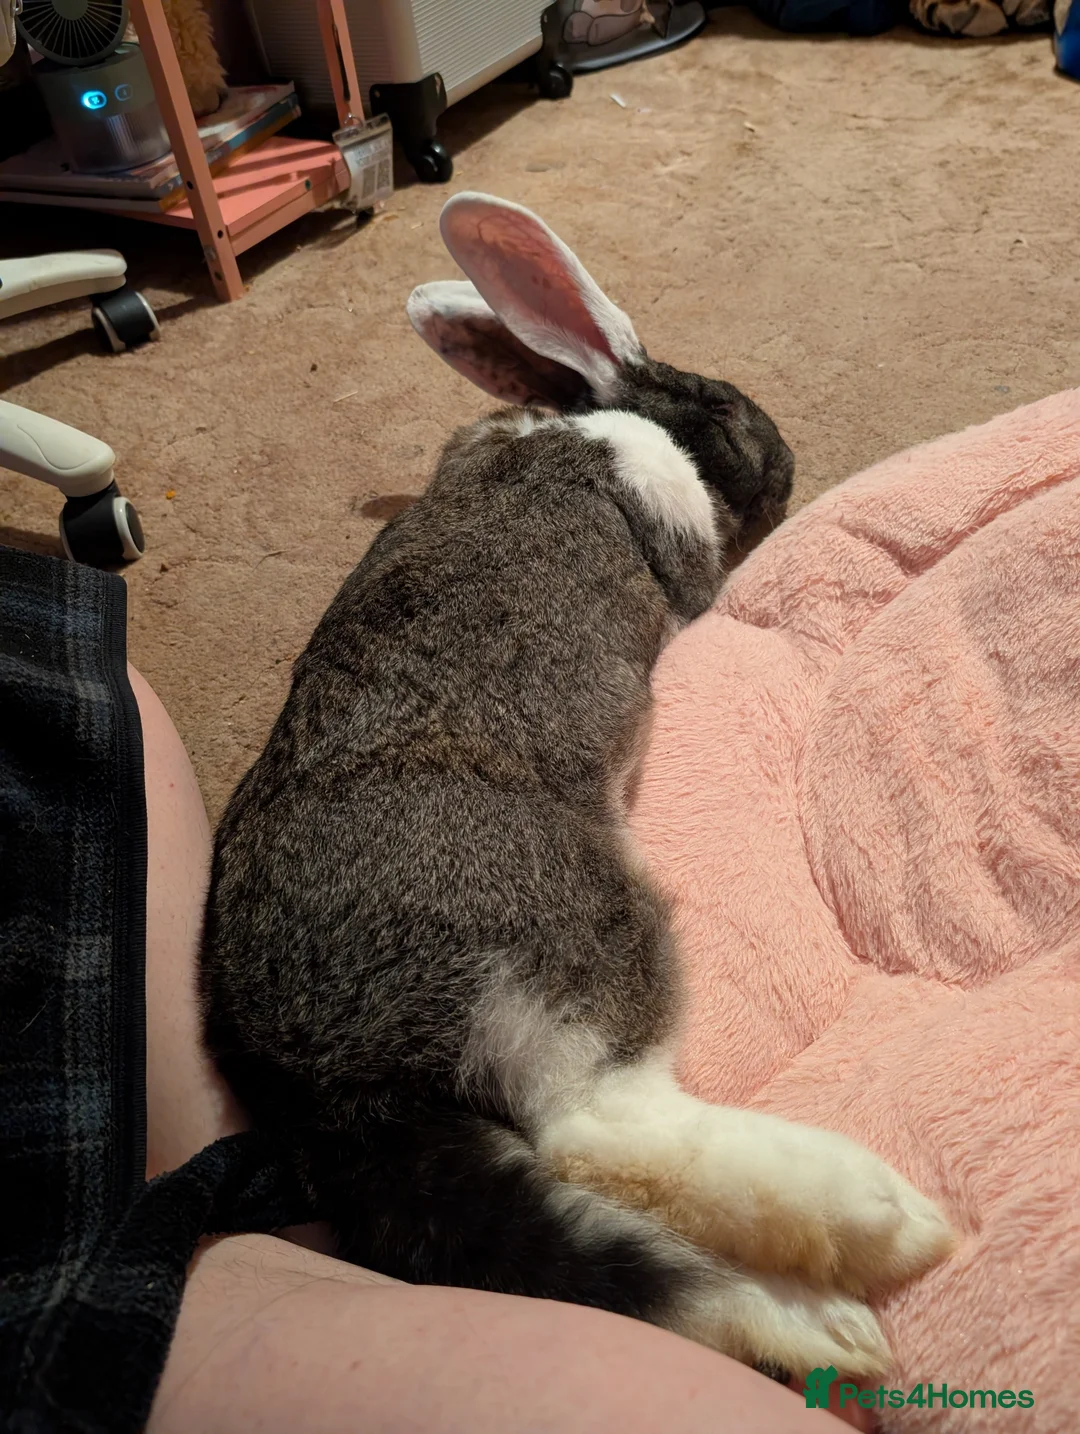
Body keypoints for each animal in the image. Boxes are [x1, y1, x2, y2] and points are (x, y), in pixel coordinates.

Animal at [199, 192, 954, 1381]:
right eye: (723, 404)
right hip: (576, 943)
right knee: (594, 1130)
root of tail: (327, 1083)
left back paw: (809, 1323)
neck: (596, 420)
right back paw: (873, 1219)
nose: (786, 457)